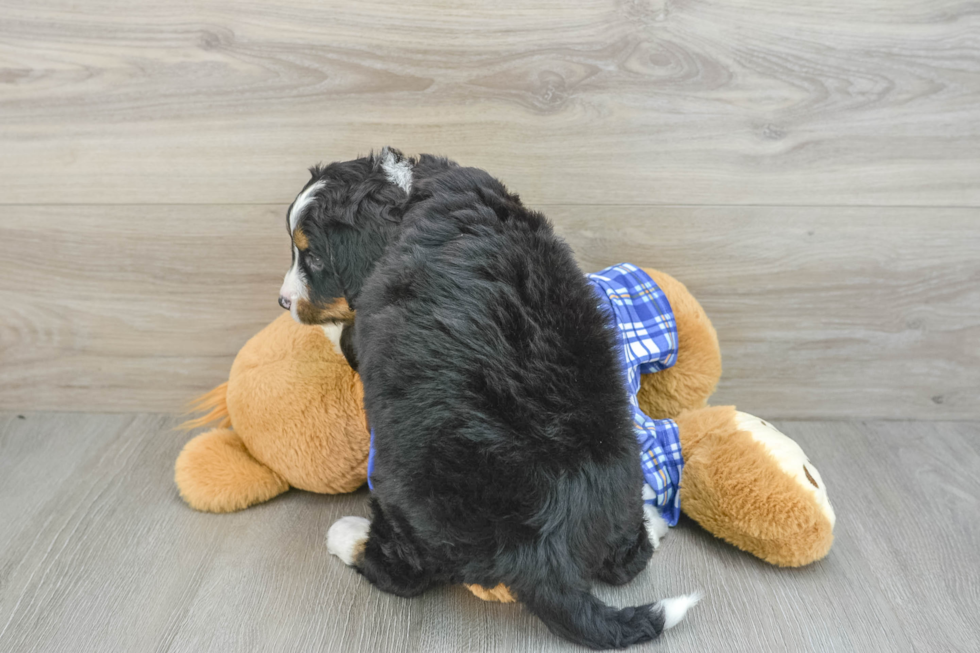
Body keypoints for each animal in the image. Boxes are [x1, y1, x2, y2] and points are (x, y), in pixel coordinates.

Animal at [282, 148, 696, 648]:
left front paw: (325, 329)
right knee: (628, 560)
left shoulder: (368, 323)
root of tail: (545, 549)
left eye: (313, 257)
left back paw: (348, 536)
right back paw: (653, 523)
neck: (407, 196)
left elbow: (348, 338)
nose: (283, 301)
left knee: (407, 572)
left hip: (402, 488)